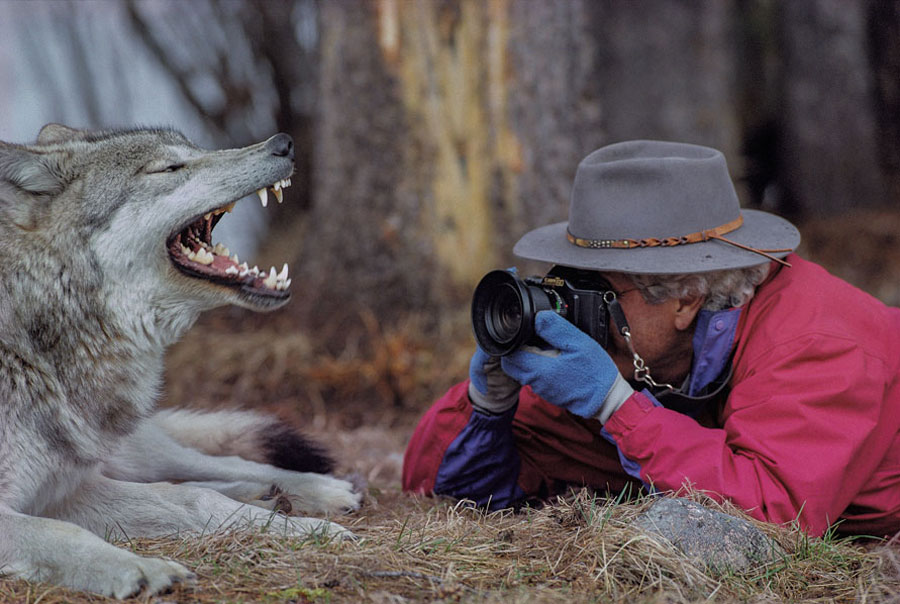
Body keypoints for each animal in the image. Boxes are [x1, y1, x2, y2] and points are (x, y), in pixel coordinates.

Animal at [1, 125, 364, 596]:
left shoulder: (62, 490)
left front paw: (306, 532)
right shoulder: (50, 499)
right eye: (170, 168)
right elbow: (64, 532)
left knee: (207, 467)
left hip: (129, 451)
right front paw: (142, 569)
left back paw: (313, 491)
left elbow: (191, 497)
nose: (283, 143)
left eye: (193, 150)